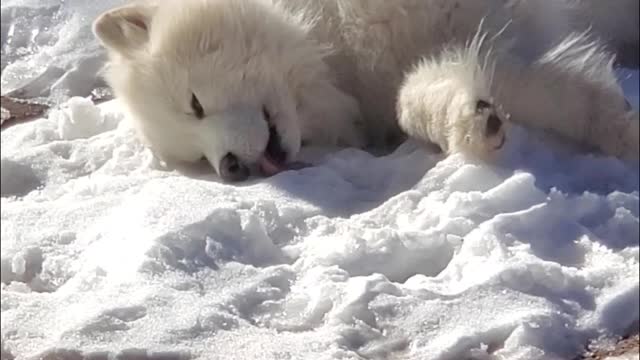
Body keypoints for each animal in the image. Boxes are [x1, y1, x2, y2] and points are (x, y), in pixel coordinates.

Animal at [92, 0, 636, 181]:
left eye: (195, 104)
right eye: (196, 160)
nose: (231, 170)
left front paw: (621, 130)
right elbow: (415, 98)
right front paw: (469, 121)